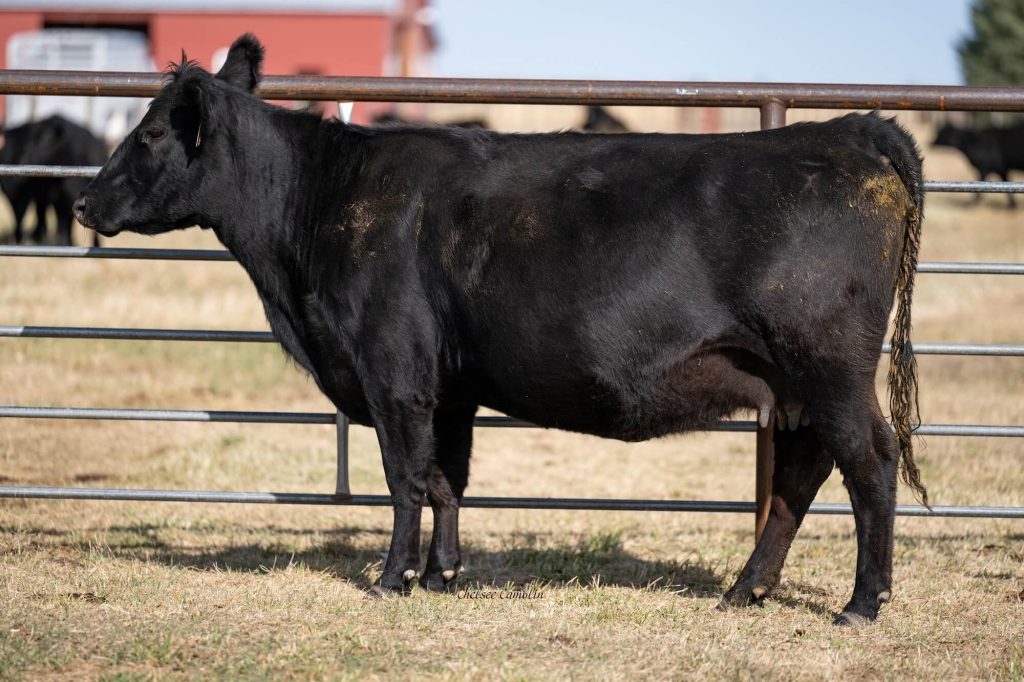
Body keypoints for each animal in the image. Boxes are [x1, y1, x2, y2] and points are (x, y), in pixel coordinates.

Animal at [74, 35, 927, 625]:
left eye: (149, 135)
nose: (83, 203)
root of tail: (847, 130)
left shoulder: (394, 375)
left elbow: (404, 478)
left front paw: (392, 579)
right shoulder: (449, 388)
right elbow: (448, 478)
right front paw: (444, 574)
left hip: (827, 365)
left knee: (869, 463)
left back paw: (862, 602)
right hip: (794, 383)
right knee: (799, 476)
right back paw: (745, 590)